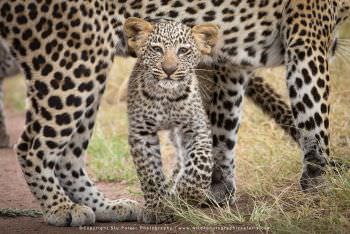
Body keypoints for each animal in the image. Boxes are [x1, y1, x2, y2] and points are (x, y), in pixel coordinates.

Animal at [0, 0, 348, 227]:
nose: (168, 70)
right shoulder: (306, 38)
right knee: (33, 144)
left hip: (90, 67)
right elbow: (314, 112)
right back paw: (61, 209)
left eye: (183, 51)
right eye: (156, 50)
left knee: (68, 155)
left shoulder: (231, 64)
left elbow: (223, 126)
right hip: (75, 58)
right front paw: (321, 185)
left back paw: (105, 207)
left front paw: (214, 189)